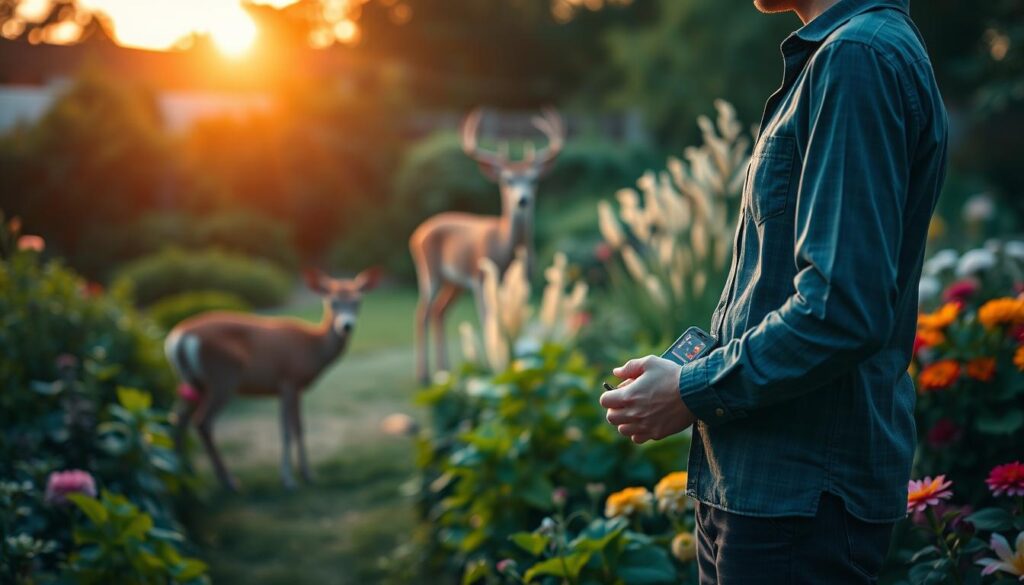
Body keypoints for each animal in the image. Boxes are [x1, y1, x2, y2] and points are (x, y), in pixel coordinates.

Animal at [164, 267, 380, 491]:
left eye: (358, 301)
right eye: (332, 302)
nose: (346, 326)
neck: (313, 347)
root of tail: (178, 338)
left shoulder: (291, 388)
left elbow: (298, 427)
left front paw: (305, 473)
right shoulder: (289, 380)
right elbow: (288, 430)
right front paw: (291, 479)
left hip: (192, 383)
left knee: (177, 419)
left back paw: (183, 475)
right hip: (221, 377)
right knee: (202, 422)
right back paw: (228, 481)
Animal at [409, 107, 565, 384]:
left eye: (533, 179)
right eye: (508, 180)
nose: (523, 200)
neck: (506, 251)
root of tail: (418, 233)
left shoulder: (524, 280)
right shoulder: (481, 278)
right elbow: (488, 322)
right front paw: (495, 371)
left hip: (455, 282)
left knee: (439, 312)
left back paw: (444, 371)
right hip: (429, 270)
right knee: (422, 313)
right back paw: (424, 375)